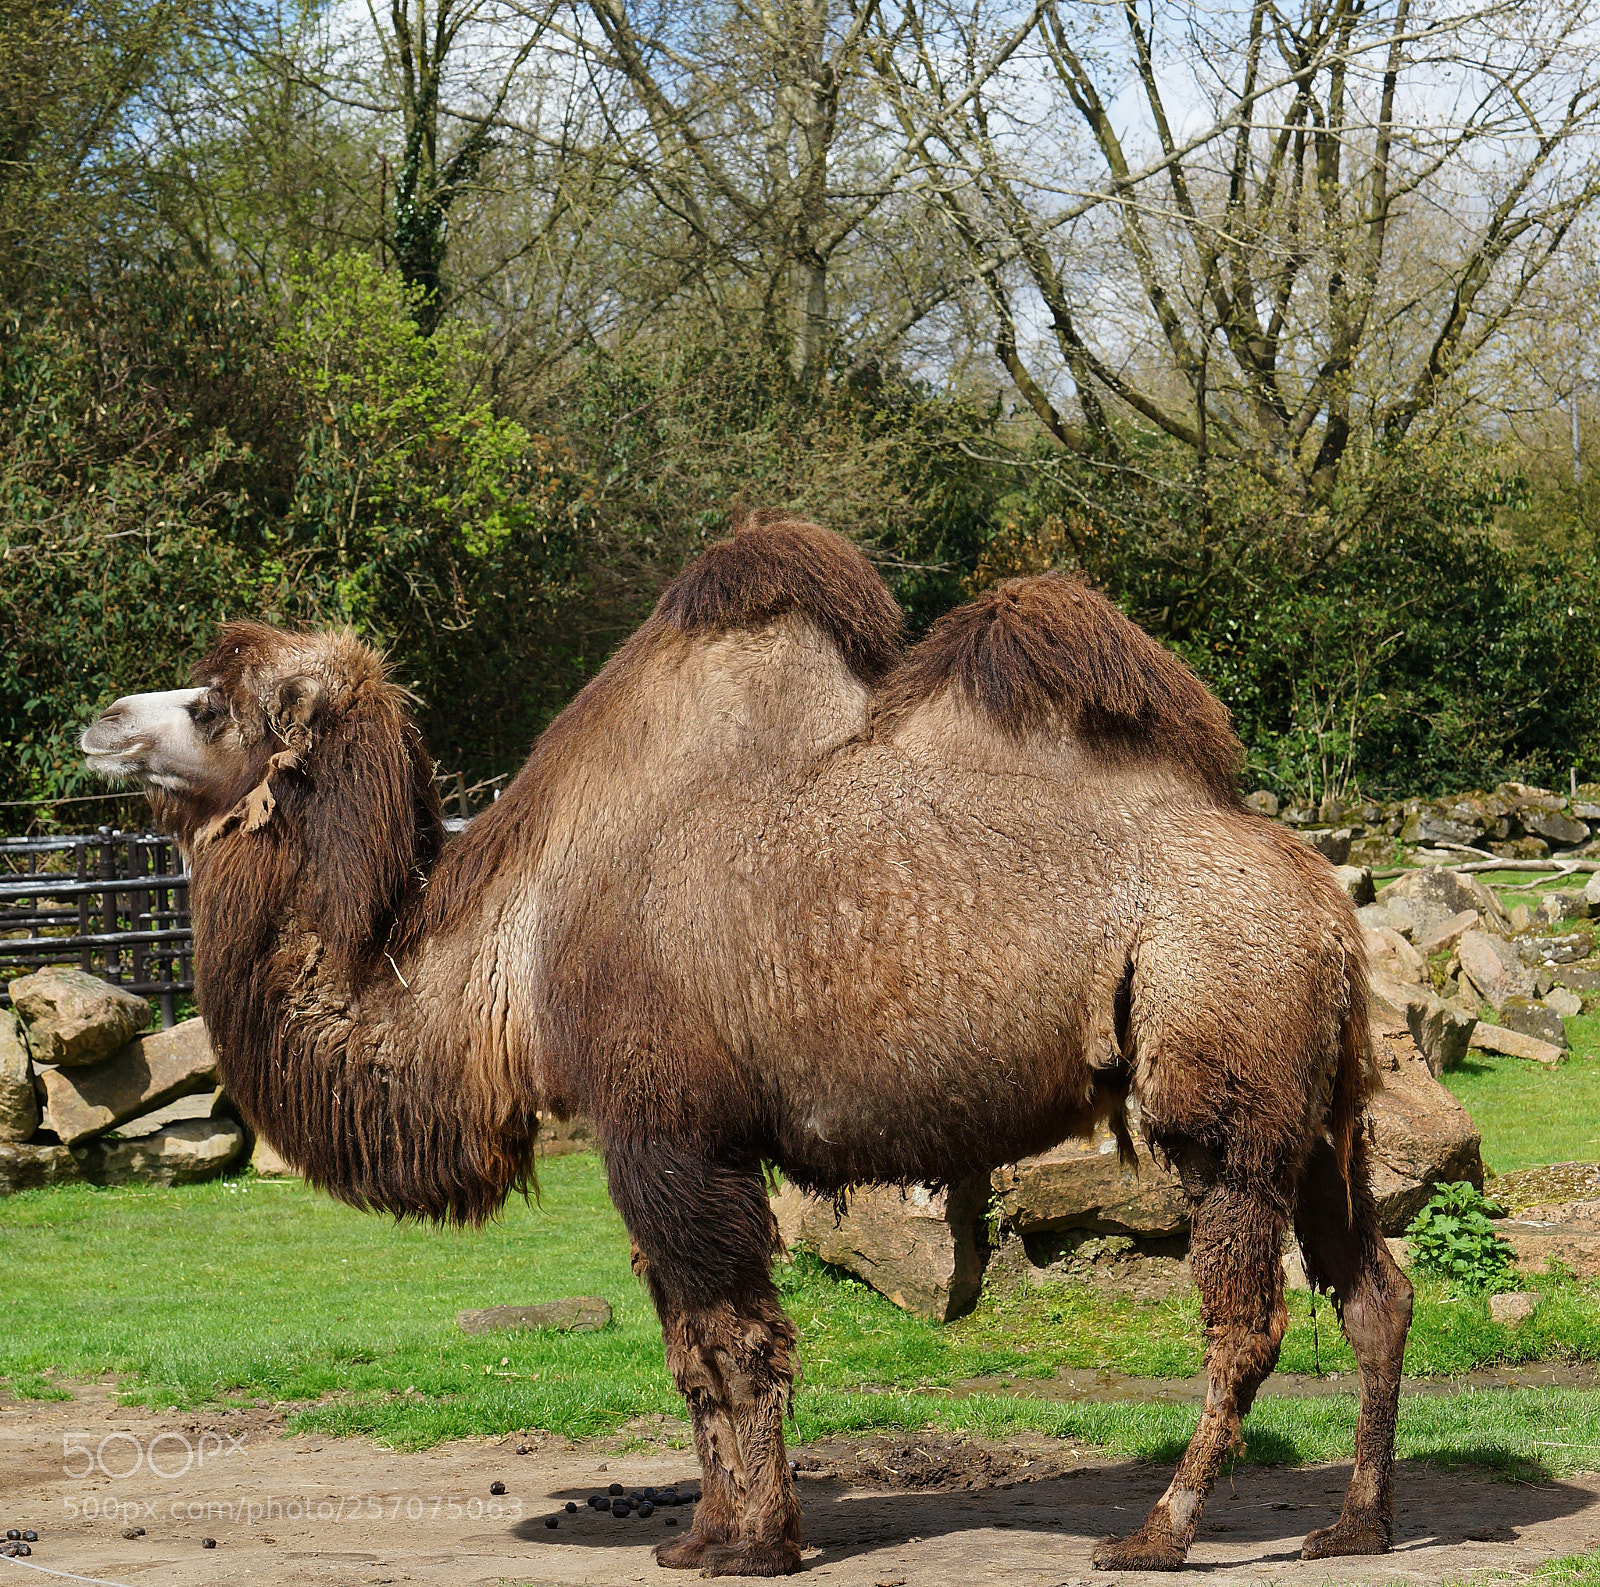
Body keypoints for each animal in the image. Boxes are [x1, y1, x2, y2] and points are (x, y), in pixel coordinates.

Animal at [81, 512, 1411, 1576]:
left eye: (212, 704)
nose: (98, 720)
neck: (503, 949)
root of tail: (1326, 899)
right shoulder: (656, 1142)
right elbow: (687, 1347)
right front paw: (703, 1534)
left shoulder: (667, 1128)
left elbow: (731, 1341)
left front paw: (755, 1543)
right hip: (1319, 1100)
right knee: (1373, 1291)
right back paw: (1355, 1524)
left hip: (1222, 1060)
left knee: (1245, 1316)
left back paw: (1157, 1535)